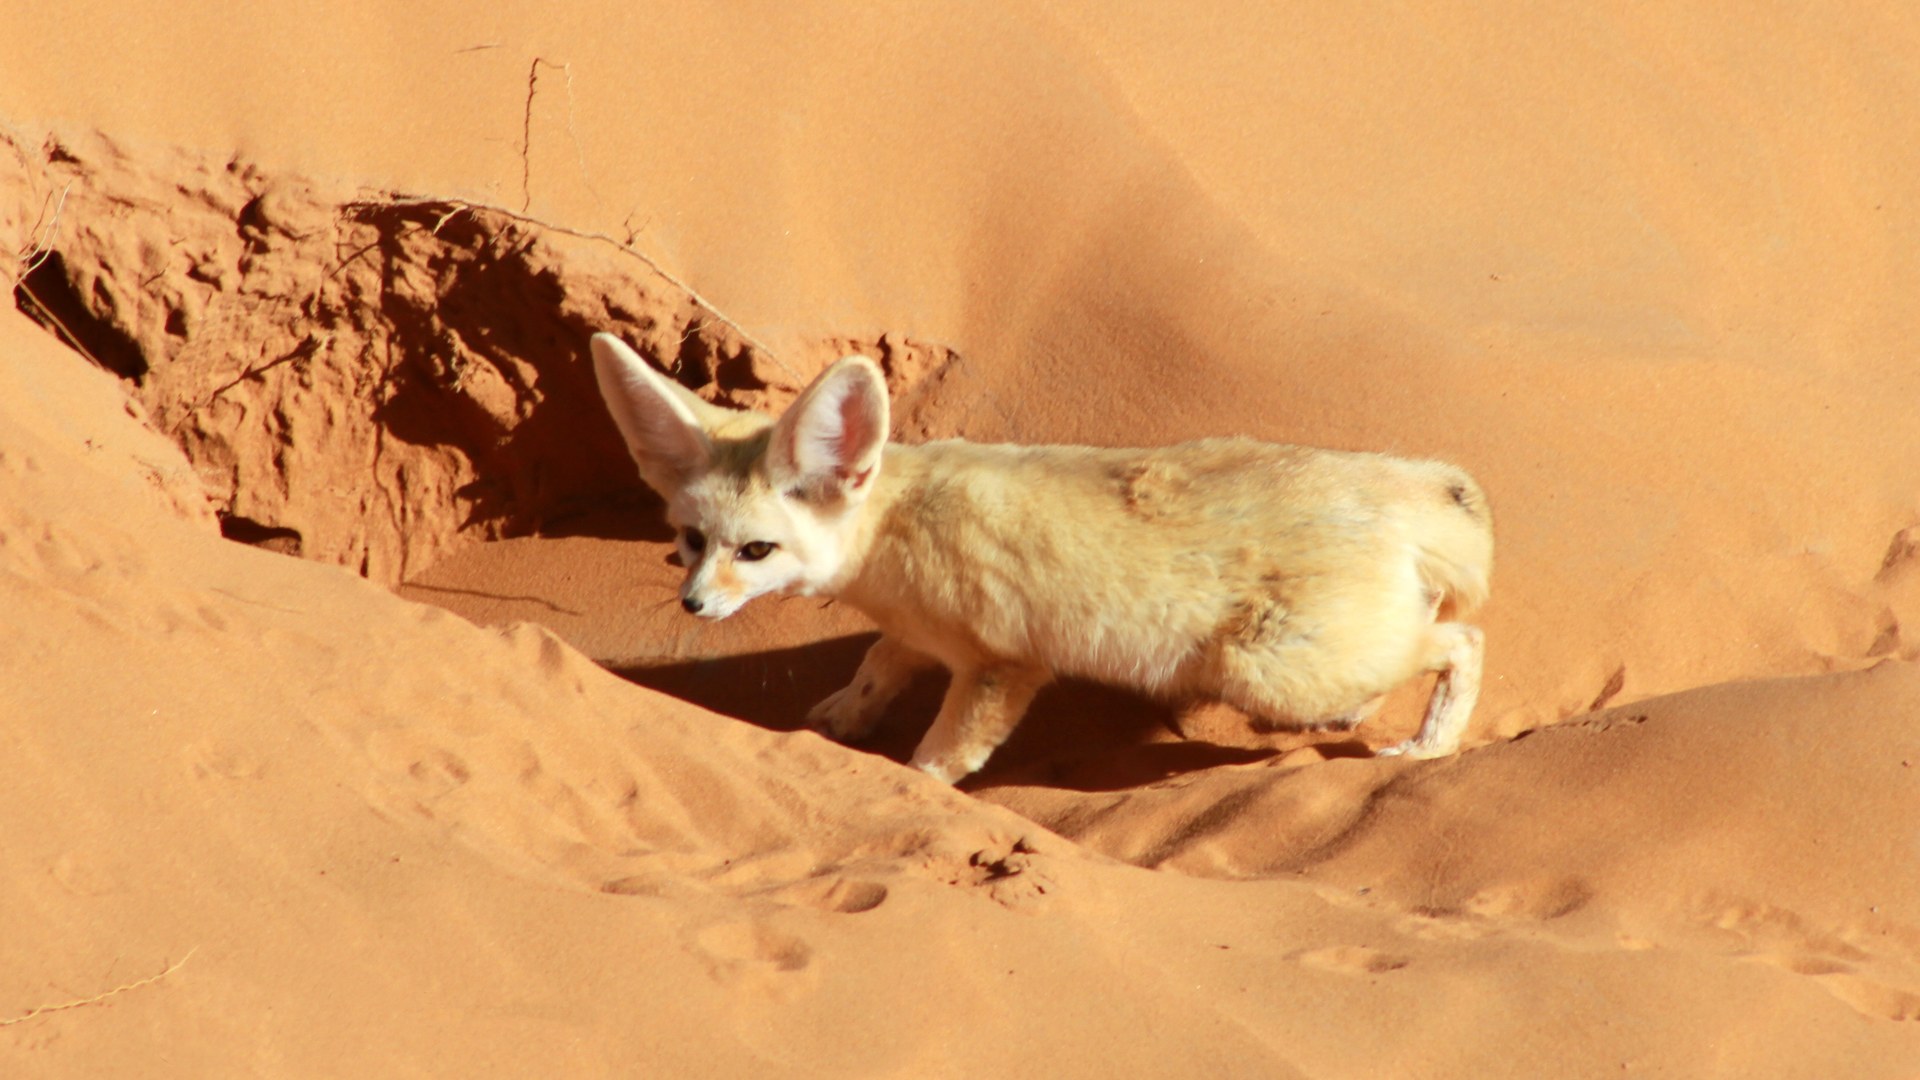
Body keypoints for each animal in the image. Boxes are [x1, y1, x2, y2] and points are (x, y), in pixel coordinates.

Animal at [589, 332, 1492, 784]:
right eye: (690, 542)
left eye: (755, 549)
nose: (693, 606)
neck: (896, 528)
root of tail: (1410, 484)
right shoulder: (916, 636)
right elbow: (878, 666)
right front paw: (840, 720)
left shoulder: (1001, 667)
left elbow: (943, 758)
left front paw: (910, 789)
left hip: (1264, 671)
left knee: (1462, 642)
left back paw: (1427, 747)